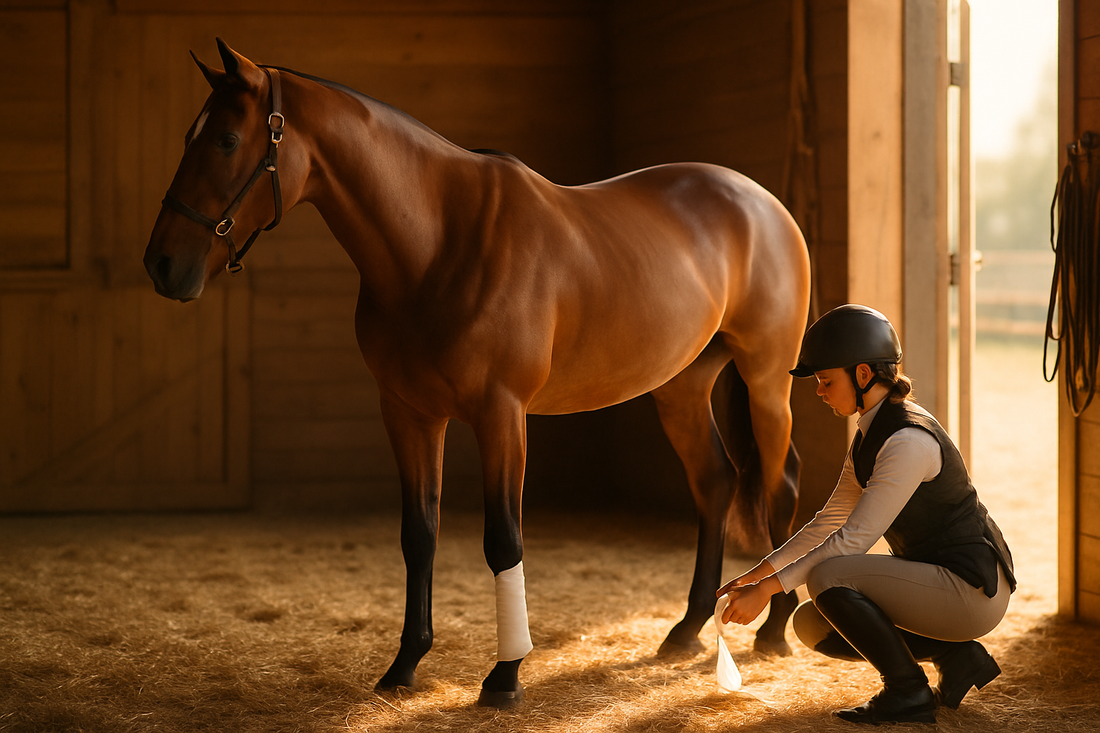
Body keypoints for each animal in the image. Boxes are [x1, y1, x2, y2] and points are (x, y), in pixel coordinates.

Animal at [144, 39, 811, 708]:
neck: (440, 242)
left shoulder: (501, 415)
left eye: (227, 139)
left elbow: (503, 541)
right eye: (190, 136)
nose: (161, 264)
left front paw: (505, 676)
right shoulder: (409, 413)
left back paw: (774, 632)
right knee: (715, 482)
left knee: (781, 485)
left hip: (766, 380)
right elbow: (419, 534)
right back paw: (686, 628)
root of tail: (762, 202)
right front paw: (404, 665)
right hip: (681, 387)